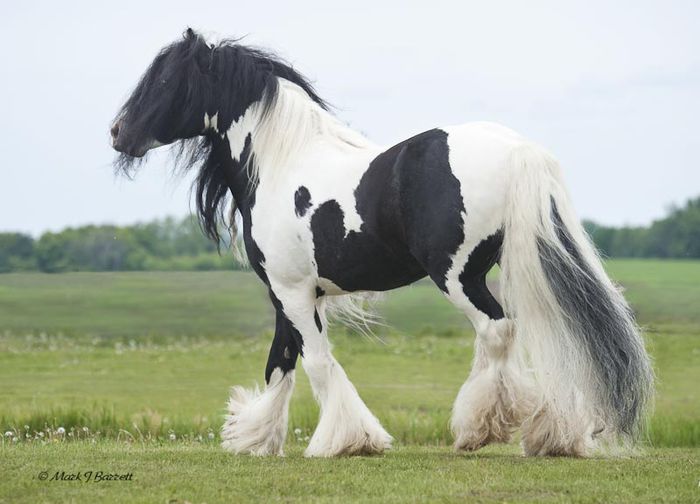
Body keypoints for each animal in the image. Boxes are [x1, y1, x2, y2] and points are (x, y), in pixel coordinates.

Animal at [112, 29, 652, 458]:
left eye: (164, 81)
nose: (118, 133)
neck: (282, 163)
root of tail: (520, 150)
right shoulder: (291, 293)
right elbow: (280, 362)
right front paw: (257, 438)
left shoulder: (292, 292)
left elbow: (316, 362)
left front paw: (346, 441)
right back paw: (545, 434)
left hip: (458, 275)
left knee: (497, 331)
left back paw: (478, 430)